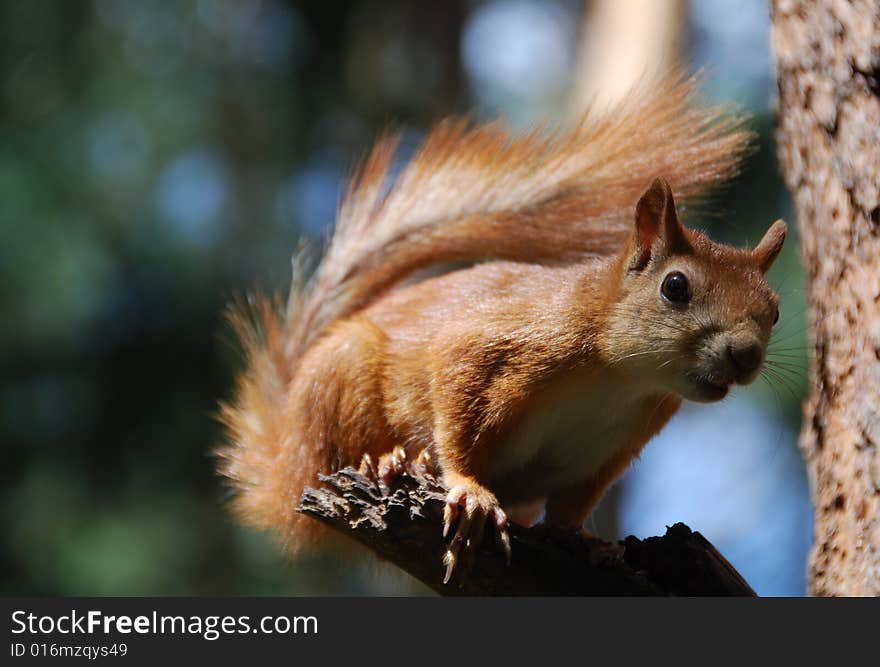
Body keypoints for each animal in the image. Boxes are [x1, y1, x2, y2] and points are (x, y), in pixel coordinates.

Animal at [217, 74, 788, 584]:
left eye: (775, 309)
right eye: (675, 286)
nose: (746, 355)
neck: (621, 379)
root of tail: (282, 471)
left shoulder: (609, 449)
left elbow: (569, 510)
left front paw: (590, 542)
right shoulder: (500, 343)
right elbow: (457, 414)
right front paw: (470, 491)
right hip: (342, 382)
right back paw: (389, 461)